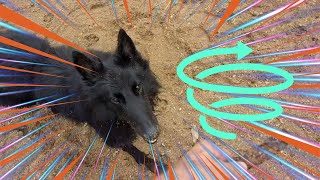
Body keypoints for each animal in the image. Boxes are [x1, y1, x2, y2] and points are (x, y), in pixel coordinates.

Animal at [0, 28, 162, 171]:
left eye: (138, 87)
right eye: (115, 100)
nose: (153, 133)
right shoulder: (109, 133)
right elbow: (134, 151)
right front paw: (157, 166)